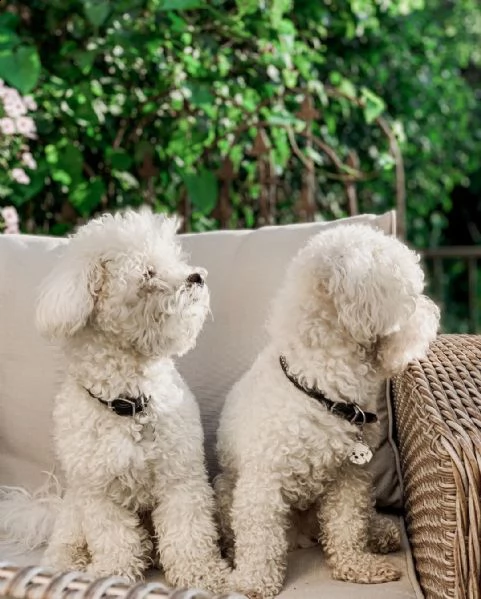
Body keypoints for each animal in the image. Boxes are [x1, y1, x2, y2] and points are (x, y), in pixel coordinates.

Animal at [0, 209, 229, 592]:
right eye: (148, 273)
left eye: (174, 260)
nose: (197, 276)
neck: (129, 402)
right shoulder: (99, 493)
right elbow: (114, 538)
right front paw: (113, 574)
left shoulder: (180, 478)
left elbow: (188, 533)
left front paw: (203, 575)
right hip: (75, 506)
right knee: (66, 541)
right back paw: (68, 563)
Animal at [216, 225, 440, 599]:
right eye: (409, 292)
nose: (434, 316)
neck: (321, 387)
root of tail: (302, 537)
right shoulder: (263, 480)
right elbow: (260, 536)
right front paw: (252, 582)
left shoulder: (349, 476)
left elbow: (347, 524)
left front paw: (358, 565)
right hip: (224, 488)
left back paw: (379, 531)